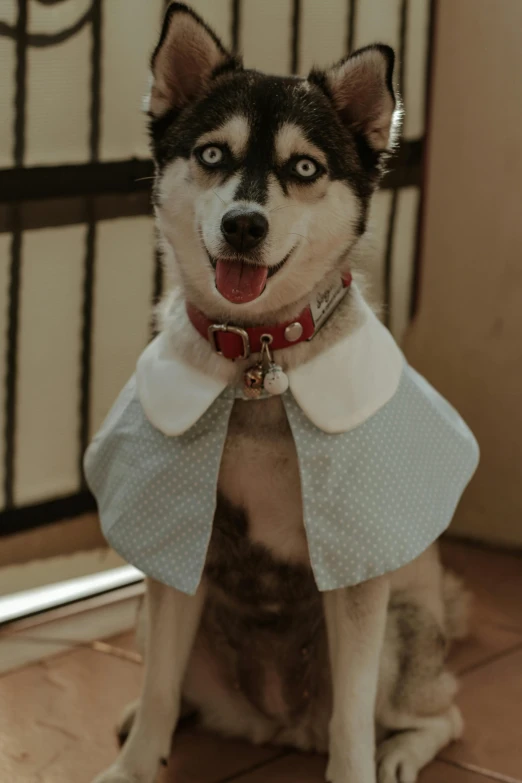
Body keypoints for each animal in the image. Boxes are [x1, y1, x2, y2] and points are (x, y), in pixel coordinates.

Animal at [87, 3, 474, 780]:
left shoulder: (357, 578)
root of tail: (278, 728)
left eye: (304, 168)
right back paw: (152, 716)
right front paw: (136, 763)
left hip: (401, 638)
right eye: (213, 155)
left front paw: (360, 768)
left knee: (436, 713)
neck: (259, 366)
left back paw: (399, 753)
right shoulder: (177, 557)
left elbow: (353, 721)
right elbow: (159, 686)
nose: (244, 223)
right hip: (149, 617)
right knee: (171, 689)